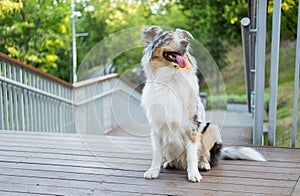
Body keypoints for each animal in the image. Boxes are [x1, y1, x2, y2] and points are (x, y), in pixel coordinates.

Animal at [141, 26, 264, 182]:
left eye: (183, 38)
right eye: (168, 38)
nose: (185, 43)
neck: (171, 77)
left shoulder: (192, 125)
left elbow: (192, 155)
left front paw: (193, 173)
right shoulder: (157, 125)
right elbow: (157, 153)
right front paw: (153, 171)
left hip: (212, 129)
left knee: (205, 155)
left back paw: (203, 164)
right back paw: (171, 162)